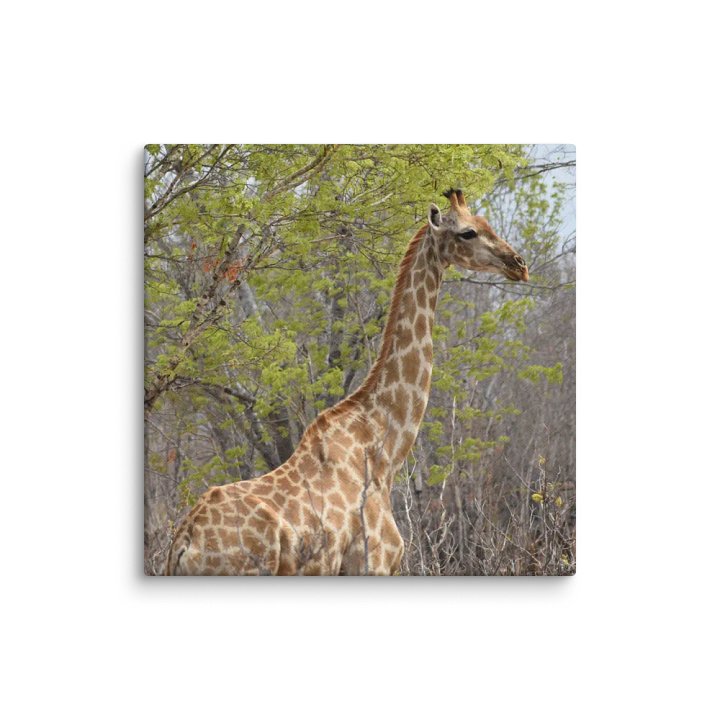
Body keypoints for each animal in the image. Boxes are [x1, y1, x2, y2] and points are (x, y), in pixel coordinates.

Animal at [165, 189, 529, 575]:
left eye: (485, 223)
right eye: (467, 232)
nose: (519, 264)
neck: (385, 449)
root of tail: (183, 543)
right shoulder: (373, 562)